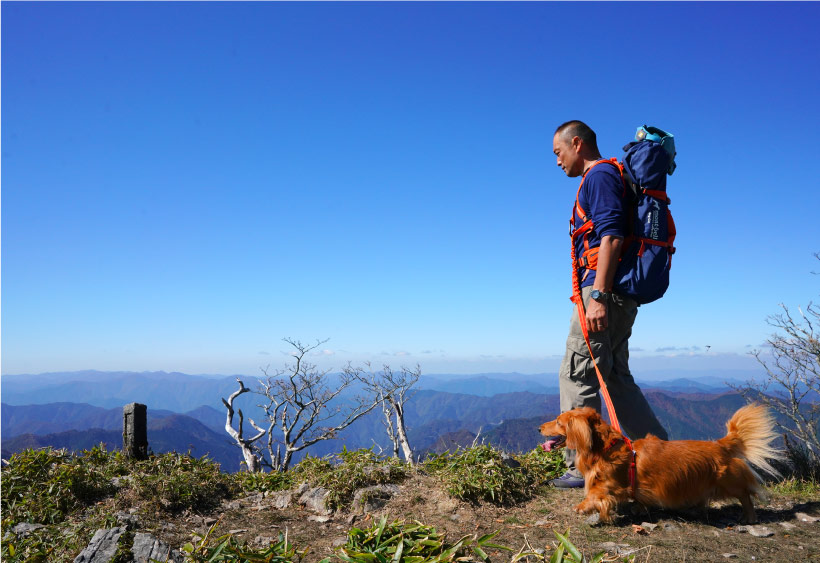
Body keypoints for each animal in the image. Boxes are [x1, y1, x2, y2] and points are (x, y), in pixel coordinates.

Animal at [539, 404, 782, 524]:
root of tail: (722, 444)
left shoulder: (609, 485)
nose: (539, 428)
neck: (606, 448)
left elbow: (595, 495)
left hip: (728, 481)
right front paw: (638, 508)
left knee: (745, 495)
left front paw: (583, 507)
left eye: (559, 422)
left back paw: (749, 517)